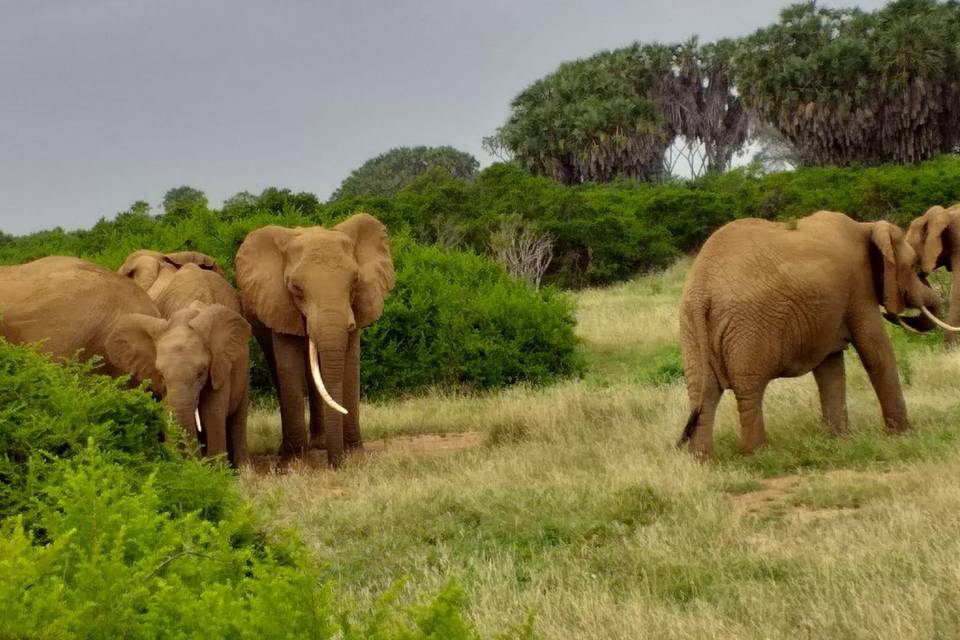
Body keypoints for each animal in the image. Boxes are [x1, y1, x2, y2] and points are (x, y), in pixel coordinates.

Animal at [118, 246, 251, 464]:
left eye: (201, 373)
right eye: (161, 375)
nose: (196, 461)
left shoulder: (220, 362)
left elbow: (213, 411)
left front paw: (217, 470)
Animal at [676, 212, 952, 458]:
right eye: (913, 266)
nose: (893, 313)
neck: (866, 227)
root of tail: (702, 289)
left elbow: (830, 366)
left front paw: (839, 440)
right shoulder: (858, 287)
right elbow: (875, 351)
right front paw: (902, 436)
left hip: (692, 328)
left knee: (703, 392)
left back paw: (701, 460)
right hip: (746, 328)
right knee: (748, 388)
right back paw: (757, 454)